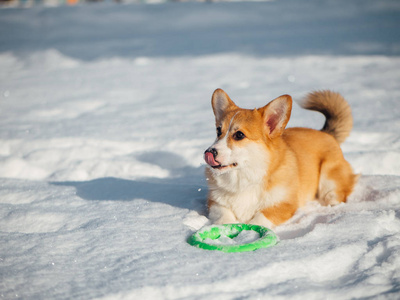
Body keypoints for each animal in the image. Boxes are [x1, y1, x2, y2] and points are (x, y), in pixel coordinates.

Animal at [205, 89, 358, 227]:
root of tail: (326, 133)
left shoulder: (285, 205)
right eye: (218, 131)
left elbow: (259, 219)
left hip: (328, 177)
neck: (245, 178)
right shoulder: (215, 203)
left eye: (239, 135)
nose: (209, 152)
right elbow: (224, 217)